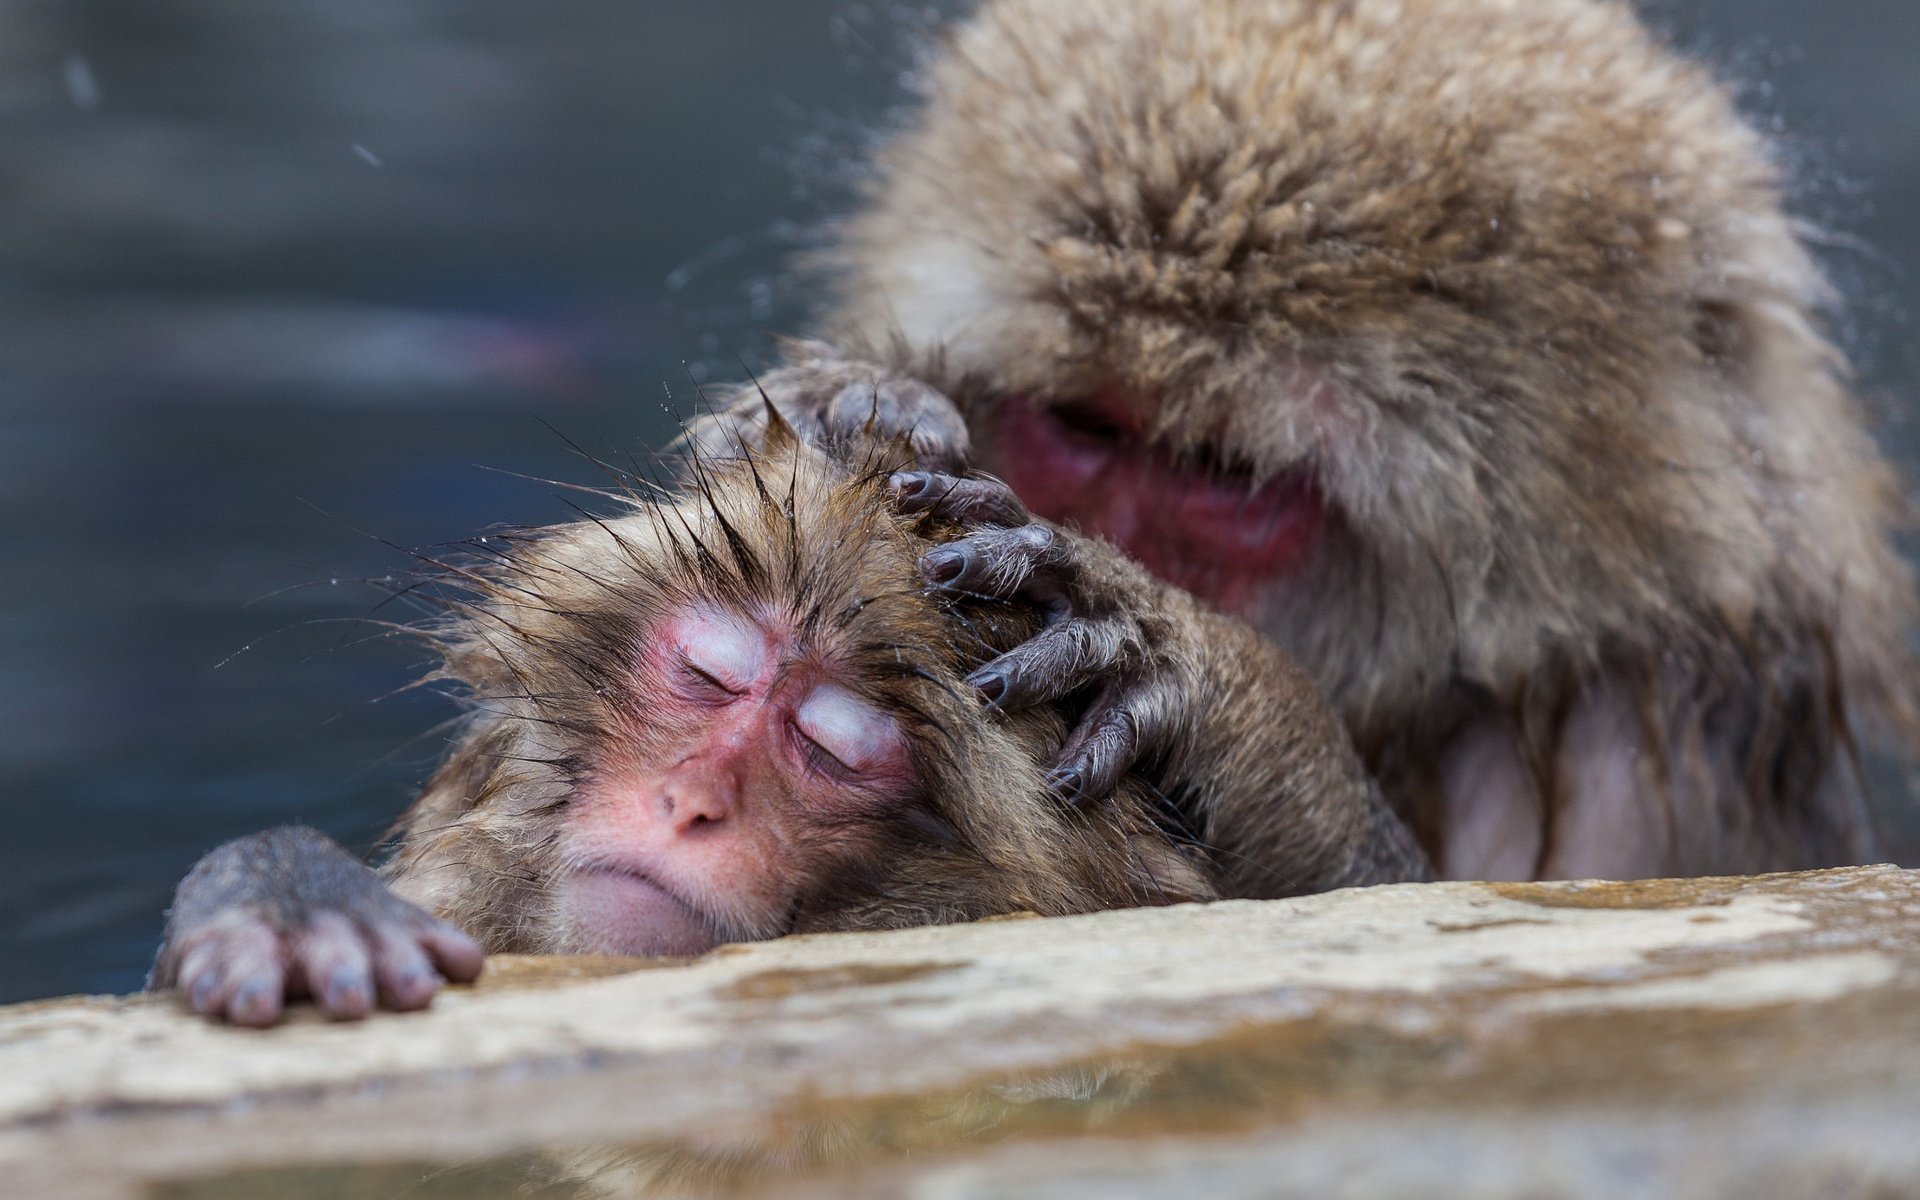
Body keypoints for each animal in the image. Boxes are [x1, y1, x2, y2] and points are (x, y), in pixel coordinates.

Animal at [695, 0, 1920, 879]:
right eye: (1085, 428)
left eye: (1222, 477)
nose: (1096, 526)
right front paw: (866, 400)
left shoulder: (1635, 733)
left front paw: (1218, 692)